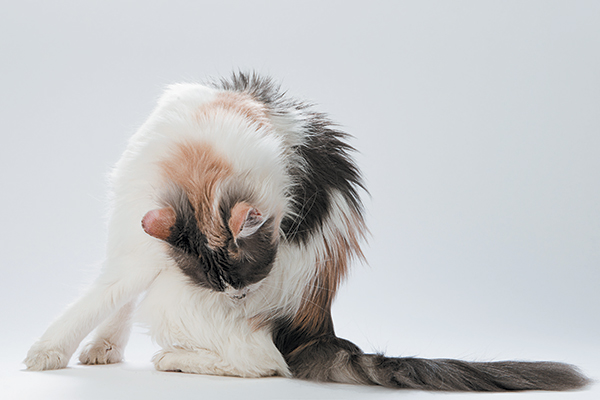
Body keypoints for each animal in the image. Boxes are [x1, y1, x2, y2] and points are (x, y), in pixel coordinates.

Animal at [24, 72, 592, 390]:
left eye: (249, 278)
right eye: (220, 281)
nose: (237, 296)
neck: (201, 162)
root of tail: (320, 326)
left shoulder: (143, 258)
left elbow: (97, 299)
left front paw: (45, 353)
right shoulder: (135, 236)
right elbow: (114, 301)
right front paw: (103, 347)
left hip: (178, 303)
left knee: (265, 364)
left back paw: (177, 359)